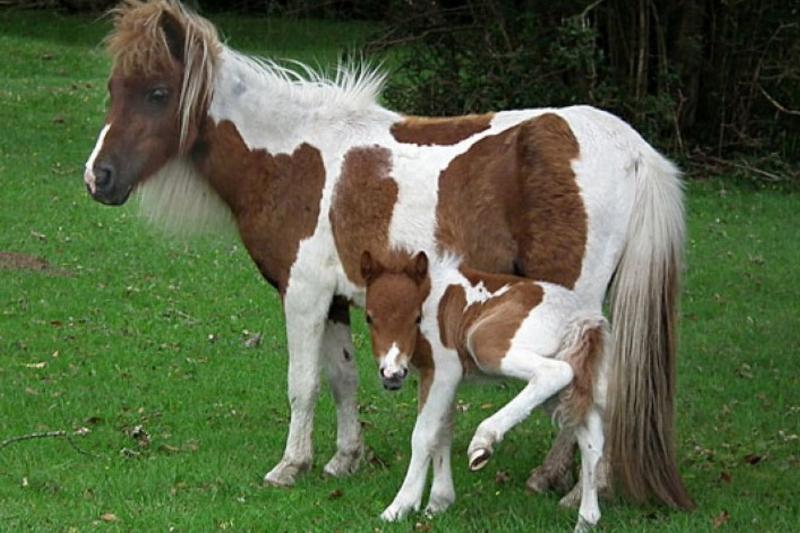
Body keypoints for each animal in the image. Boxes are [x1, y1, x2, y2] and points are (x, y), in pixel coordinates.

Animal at [360, 249, 608, 530]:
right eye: (369, 317)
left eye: (416, 318)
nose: (392, 374)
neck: (432, 297)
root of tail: (578, 317)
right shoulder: (437, 378)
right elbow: (443, 430)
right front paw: (438, 504)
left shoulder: (445, 370)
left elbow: (424, 435)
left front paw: (399, 507)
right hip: (569, 385)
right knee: (591, 439)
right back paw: (586, 520)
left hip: (484, 342)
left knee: (556, 373)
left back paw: (483, 440)